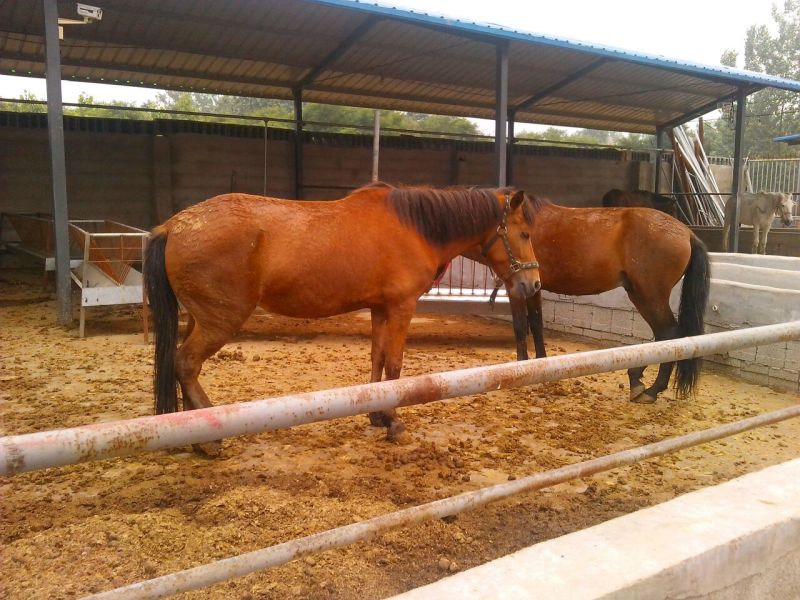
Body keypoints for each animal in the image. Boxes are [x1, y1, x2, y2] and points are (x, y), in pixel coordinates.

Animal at [143, 184, 541, 452]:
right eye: (524, 233)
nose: (532, 284)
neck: (414, 227)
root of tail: (173, 227)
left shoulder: (381, 308)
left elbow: (378, 358)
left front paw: (377, 415)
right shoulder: (401, 307)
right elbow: (395, 364)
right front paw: (393, 421)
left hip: (199, 319)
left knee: (182, 365)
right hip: (219, 322)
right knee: (186, 364)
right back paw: (209, 439)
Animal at [467, 195, 709, 404]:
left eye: (525, 236)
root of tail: (687, 233)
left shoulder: (517, 288)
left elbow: (520, 326)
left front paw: (521, 367)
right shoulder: (533, 288)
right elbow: (536, 324)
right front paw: (541, 366)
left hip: (649, 297)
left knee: (669, 335)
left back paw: (651, 389)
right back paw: (638, 379)